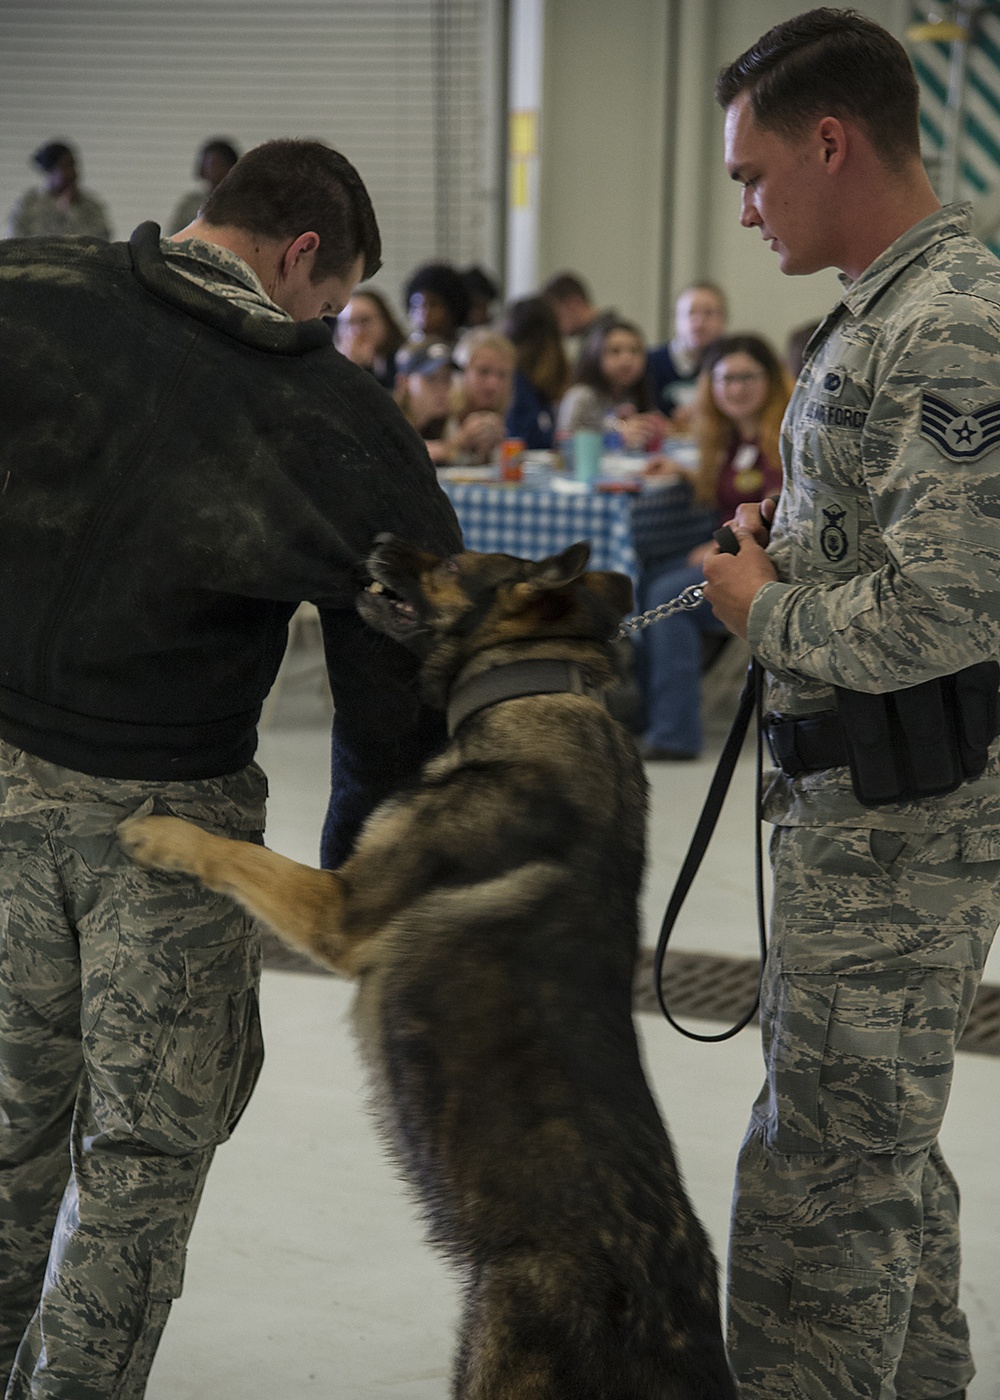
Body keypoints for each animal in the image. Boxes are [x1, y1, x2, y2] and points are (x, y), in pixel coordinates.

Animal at [120, 537, 733, 1400]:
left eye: (455, 557)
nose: (377, 542)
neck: (533, 686)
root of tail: (673, 1324)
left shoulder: (338, 909)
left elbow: (239, 852)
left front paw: (164, 834)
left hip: (491, 1360)